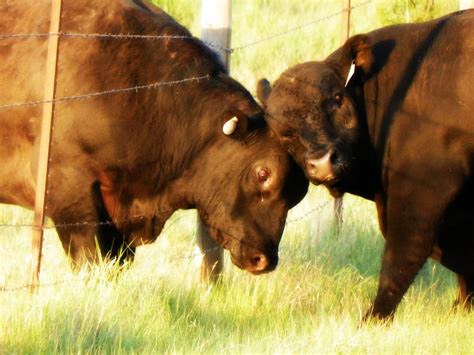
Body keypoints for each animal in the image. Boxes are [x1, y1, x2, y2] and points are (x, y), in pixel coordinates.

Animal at [258, 9, 474, 320]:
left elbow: (401, 258)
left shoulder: (420, 196)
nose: (323, 163)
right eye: (283, 131)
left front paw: (373, 318)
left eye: (336, 98)